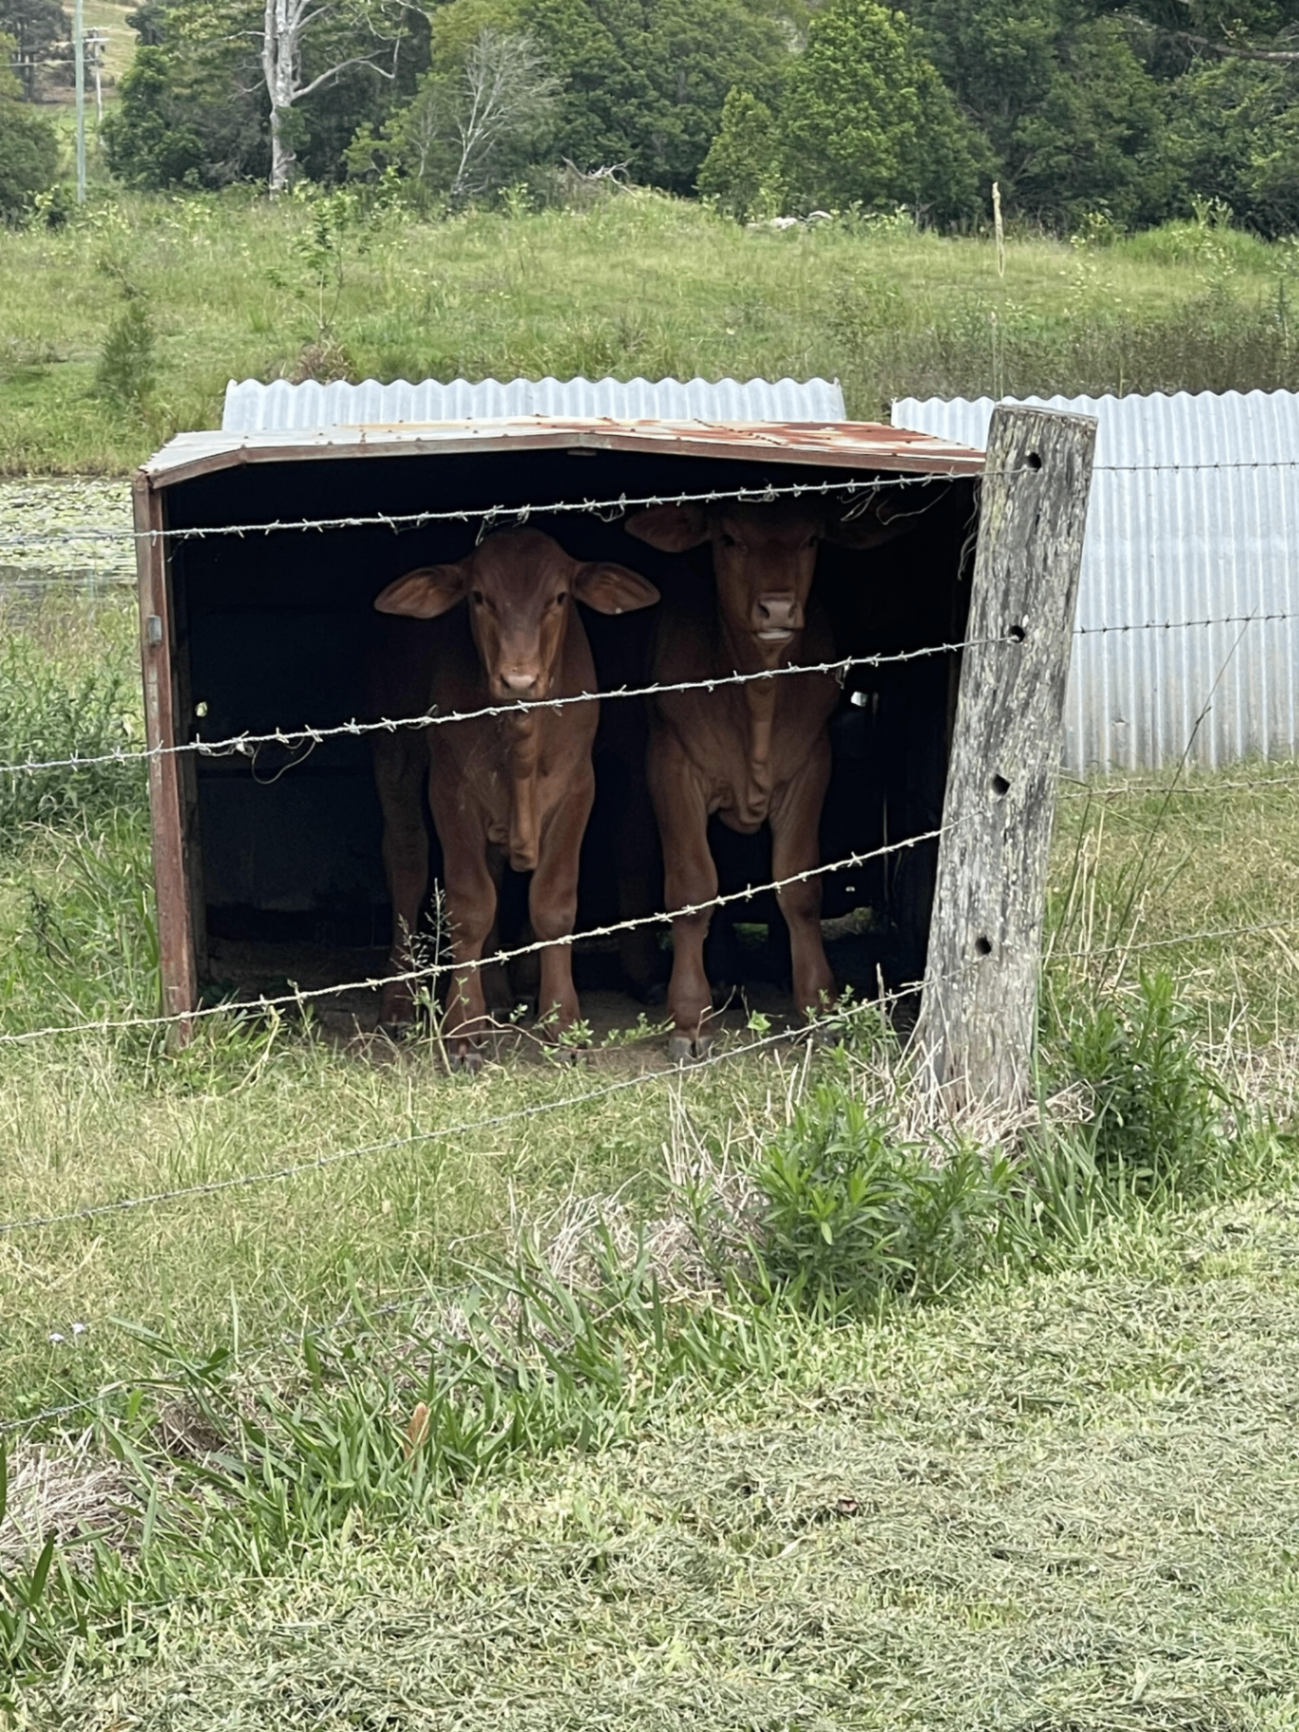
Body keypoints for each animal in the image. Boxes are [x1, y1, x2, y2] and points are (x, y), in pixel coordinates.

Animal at [369, 528, 659, 1069]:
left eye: (560, 597)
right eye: (479, 597)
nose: (518, 679)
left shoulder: (577, 788)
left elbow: (554, 905)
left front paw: (562, 1024)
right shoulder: (452, 790)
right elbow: (470, 904)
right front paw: (462, 1027)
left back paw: (500, 994)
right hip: (393, 750)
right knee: (407, 859)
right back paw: (399, 1003)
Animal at [624, 496, 905, 1060]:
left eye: (812, 538)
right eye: (729, 538)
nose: (776, 607)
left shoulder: (810, 767)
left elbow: (800, 887)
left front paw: (818, 1003)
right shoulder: (673, 769)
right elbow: (693, 887)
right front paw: (690, 1016)